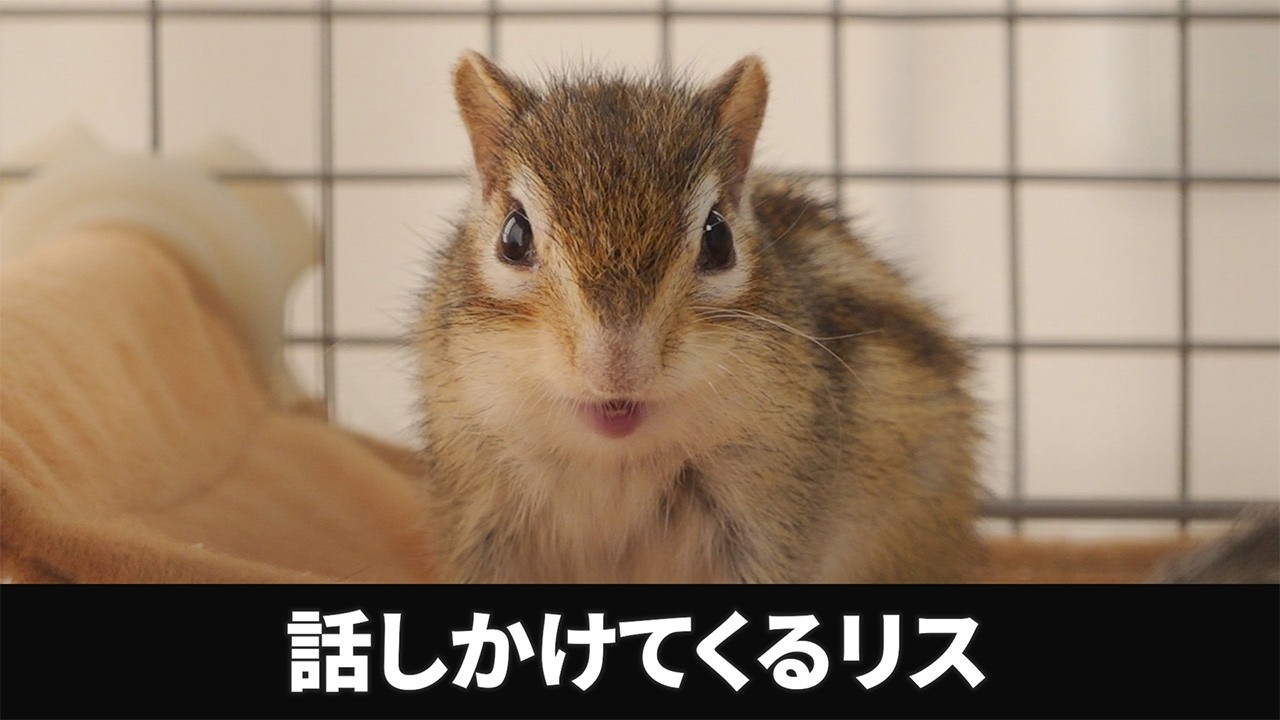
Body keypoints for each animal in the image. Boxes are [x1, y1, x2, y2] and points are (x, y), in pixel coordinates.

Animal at [413, 51, 982, 583]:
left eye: (718, 239)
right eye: (513, 237)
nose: (618, 366)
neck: (615, 459)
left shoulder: (764, 520)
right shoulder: (486, 518)